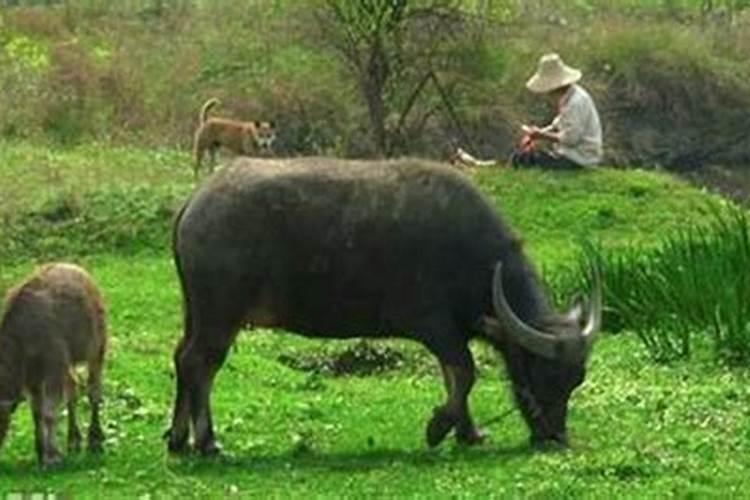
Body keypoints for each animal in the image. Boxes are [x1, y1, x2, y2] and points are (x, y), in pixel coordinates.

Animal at [167, 156, 604, 454]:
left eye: (575, 379)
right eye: (543, 374)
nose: (555, 435)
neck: (473, 257)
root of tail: (196, 202)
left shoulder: (452, 334)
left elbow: (453, 377)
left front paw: (469, 432)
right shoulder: (435, 326)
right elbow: (465, 373)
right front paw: (439, 426)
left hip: (195, 313)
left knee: (182, 358)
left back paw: (177, 437)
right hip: (220, 316)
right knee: (200, 363)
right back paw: (206, 441)